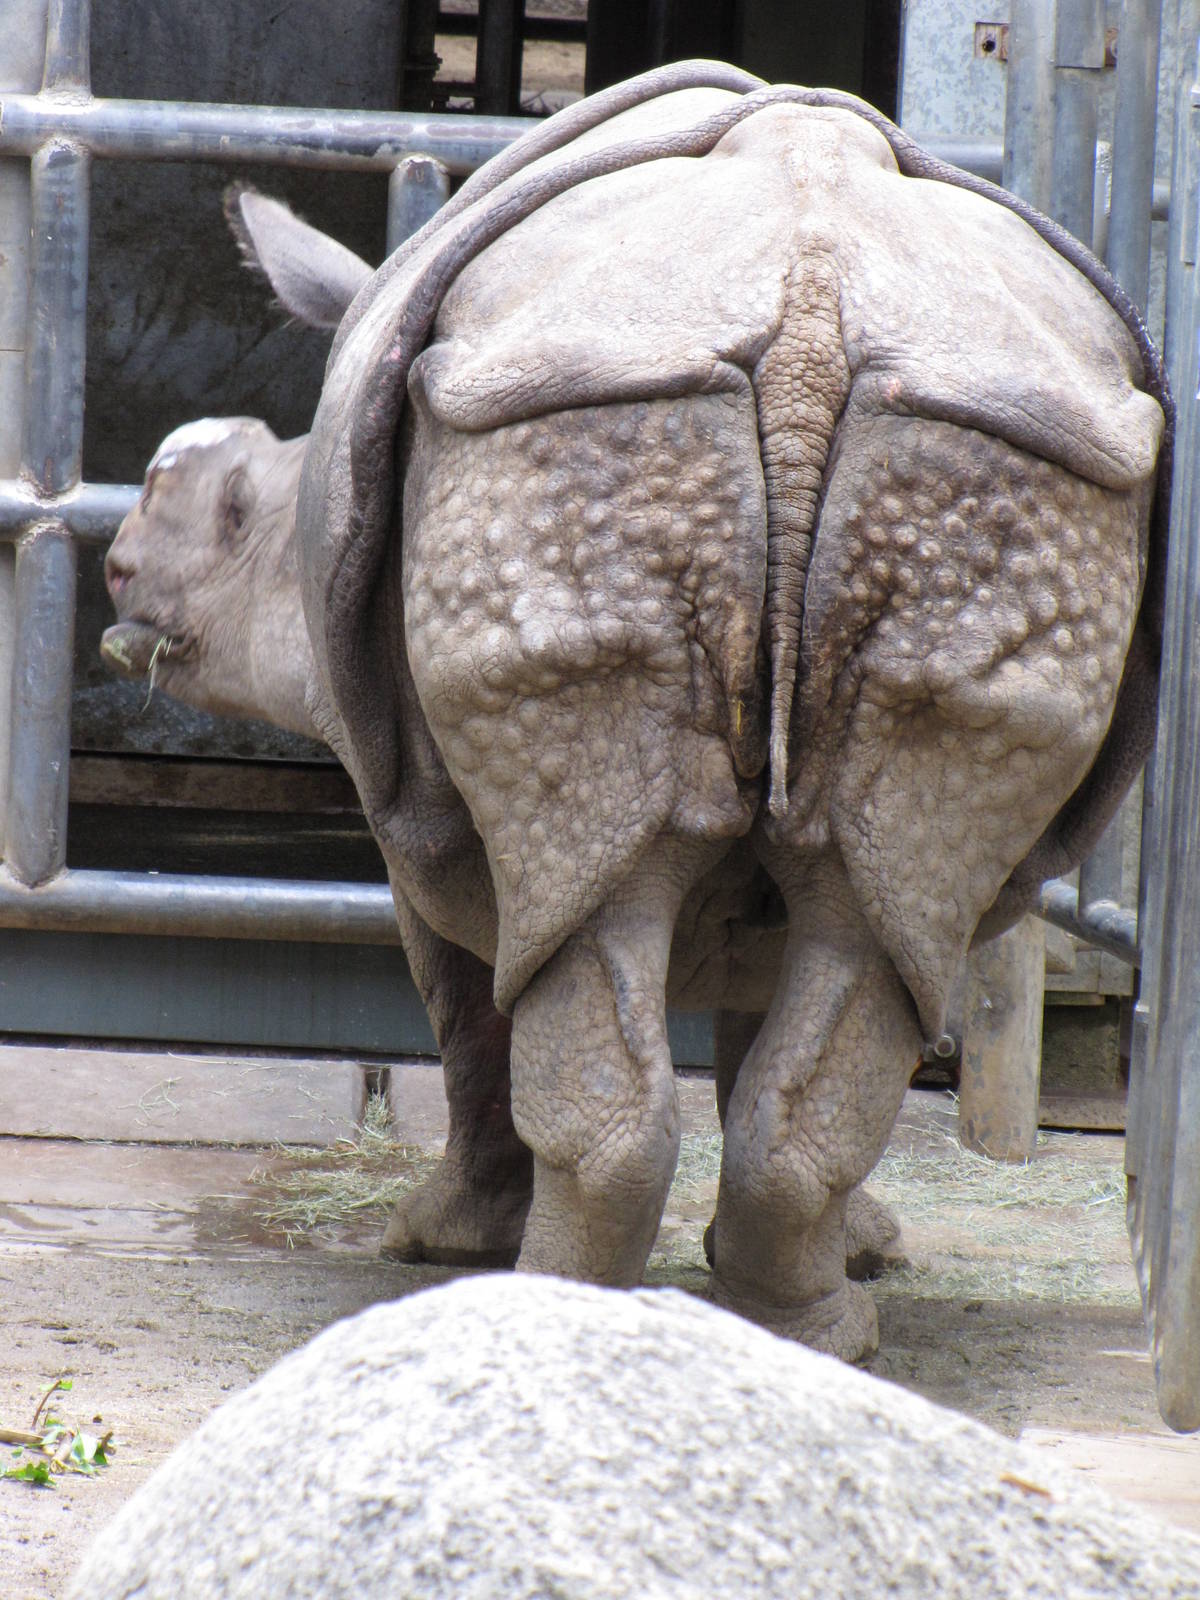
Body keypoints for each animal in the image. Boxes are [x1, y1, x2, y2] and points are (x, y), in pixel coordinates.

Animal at [105, 58, 1168, 1362]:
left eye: (234, 514)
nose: (116, 572)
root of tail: (812, 312)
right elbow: (771, 1006)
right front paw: (866, 1246)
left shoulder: (413, 832)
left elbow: (467, 1010)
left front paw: (438, 1240)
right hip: (990, 454)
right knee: (877, 905)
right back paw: (817, 1335)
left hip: (566, 424)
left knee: (596, 904)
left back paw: (538, 1308)